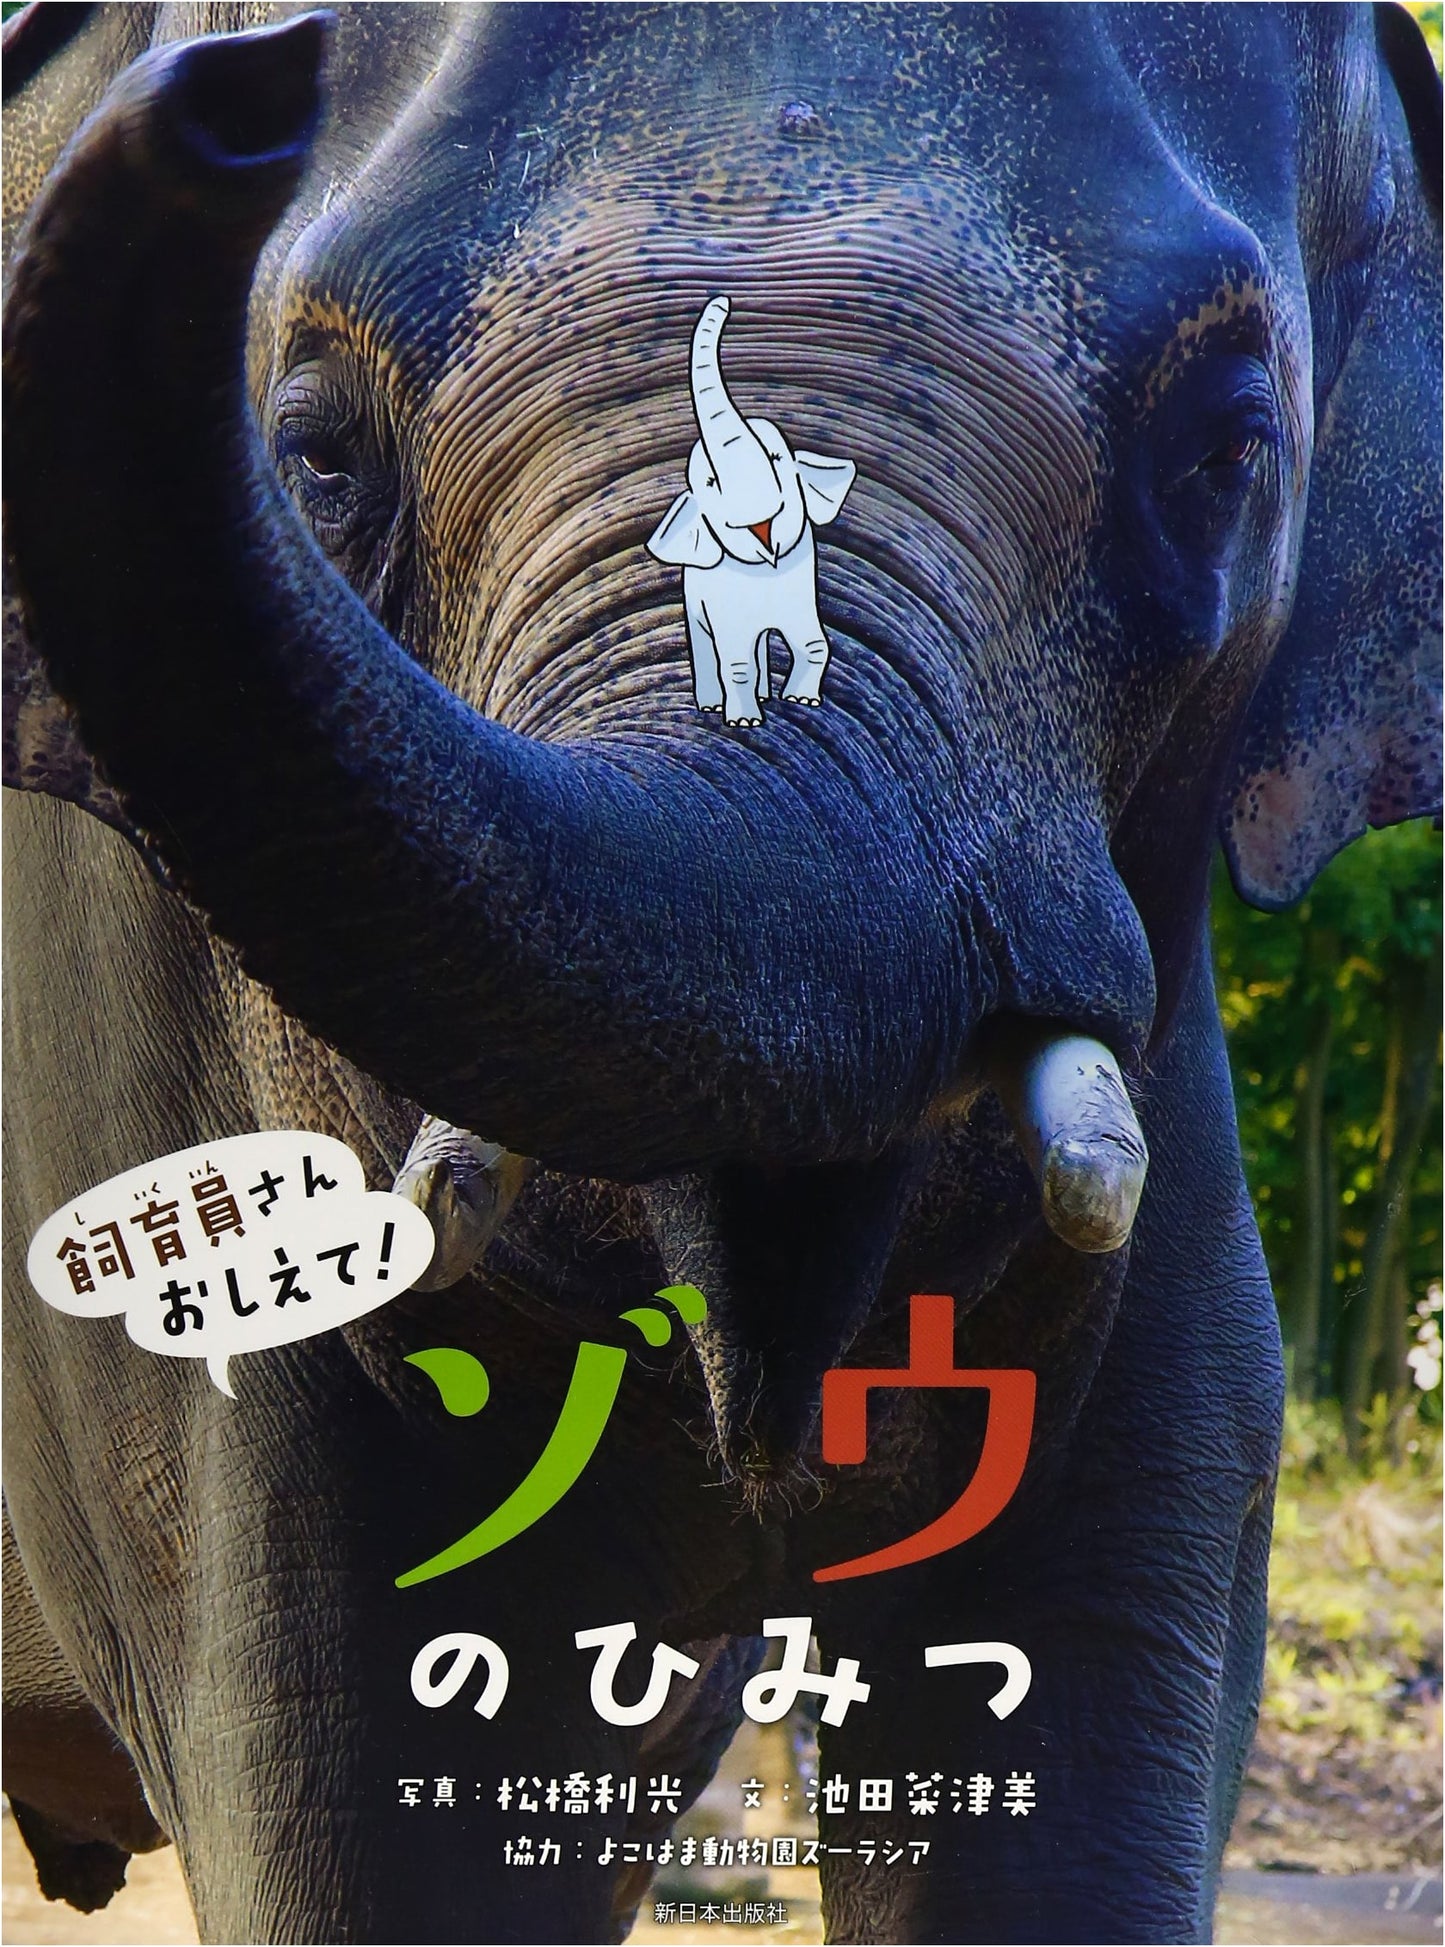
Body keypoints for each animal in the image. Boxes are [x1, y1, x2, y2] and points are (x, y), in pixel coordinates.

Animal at [647, 294, 857, 722]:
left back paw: (764, 696)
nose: (724, 302)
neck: (767, 570)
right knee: (710, 650)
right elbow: (736, 662)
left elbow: (815, 643)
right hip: (694, 602)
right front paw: (743, 721)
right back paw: (715, 706)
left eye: (777, 457)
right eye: (709, 484)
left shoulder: (800, 589)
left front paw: (802, 701)